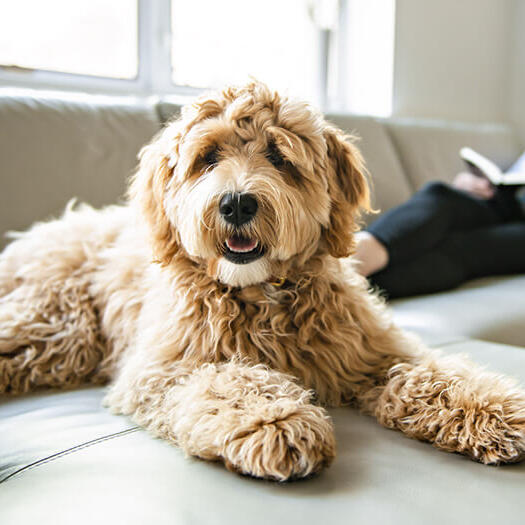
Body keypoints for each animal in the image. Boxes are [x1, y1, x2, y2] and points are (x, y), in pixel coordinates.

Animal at [1, 82, 524, 478]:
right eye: (208, 158)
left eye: (279, 157)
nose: (236, 203)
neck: (259, 293)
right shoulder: (163, 370)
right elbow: (226, 381)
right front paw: (275, 420)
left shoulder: (373, 351)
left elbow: (433, 374)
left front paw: (494, 409)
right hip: (57, 326)